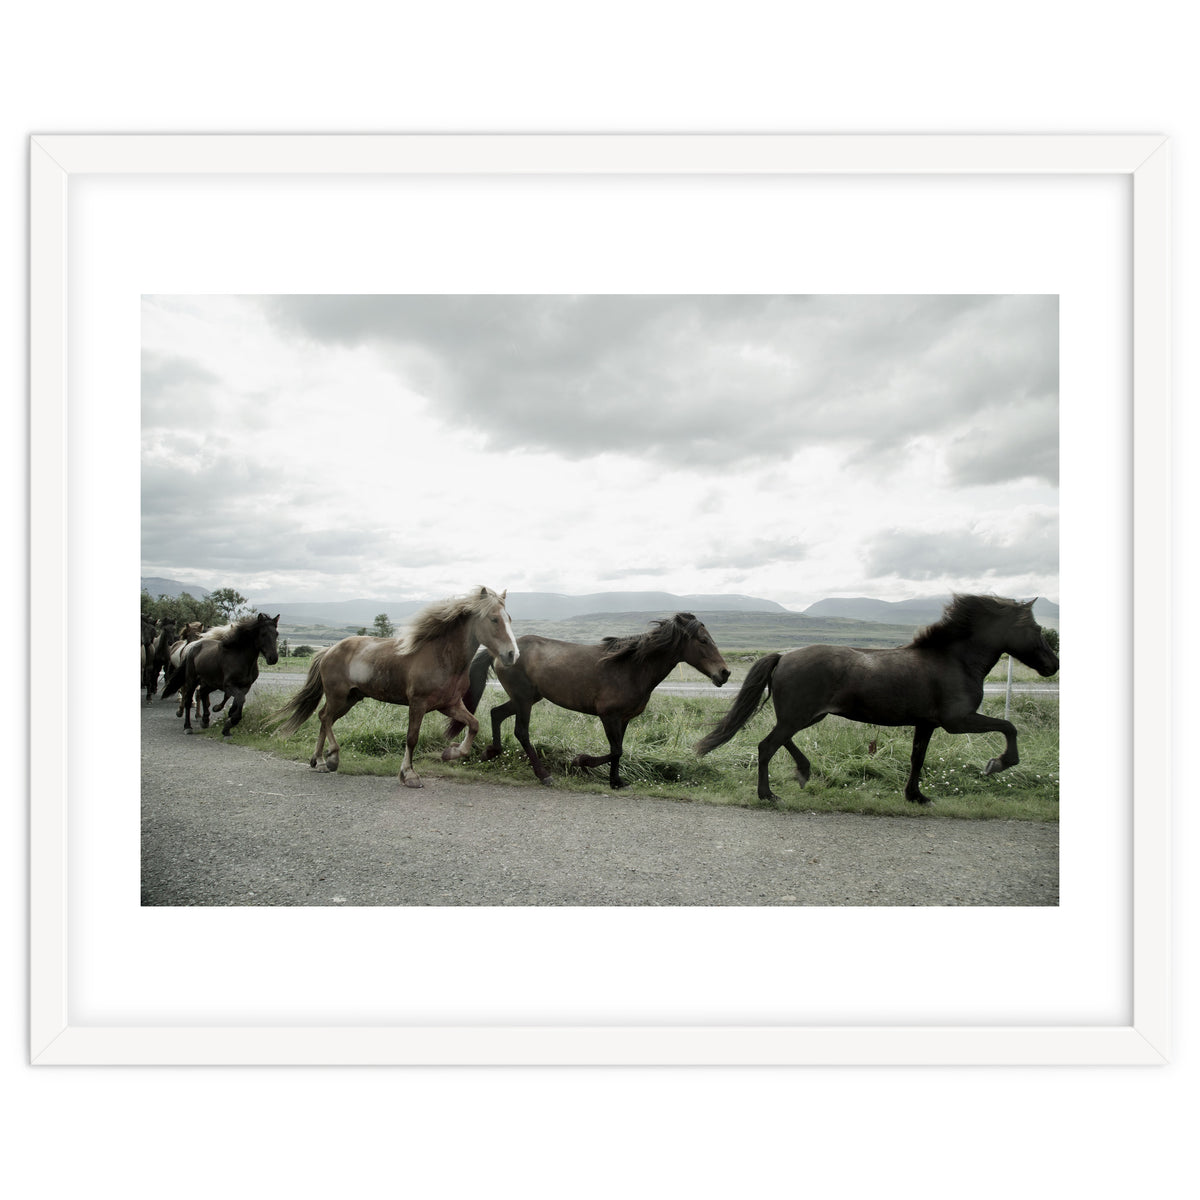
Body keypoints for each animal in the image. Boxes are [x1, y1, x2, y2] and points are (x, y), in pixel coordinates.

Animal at [267, 587, 518, 788]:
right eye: (494, 619)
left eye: (509, 618)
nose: (512, 655)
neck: (441, 657)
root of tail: (329, 650)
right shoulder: (417, 704)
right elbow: (412, 738)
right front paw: (409, 775)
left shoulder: (450, 705)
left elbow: (474, 725)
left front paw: (450, 753)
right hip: (338, 696)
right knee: (325, 718)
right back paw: (331, 758)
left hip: (349, 699)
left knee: (323, 718)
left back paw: (319, 760)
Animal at [458, 613, 731, 789]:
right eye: (703, 640)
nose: (724, 673)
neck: (631, 667)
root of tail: (502, 652)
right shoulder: (608, 716)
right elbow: (616, 750)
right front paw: (581, 761)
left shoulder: (624, 719)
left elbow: (618, 750)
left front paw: (616, 781)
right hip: (524, 700)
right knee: (521, 732)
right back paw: (543, 775)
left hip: (527, 698)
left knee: (496, 713)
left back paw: (491, 752)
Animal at [695, 594, 1059, 804]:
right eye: (1036, 628)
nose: (1053, 665)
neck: (953, 660)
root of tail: (784, 656)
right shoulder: (958, 721)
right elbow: (1009, 727)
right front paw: (997, 763)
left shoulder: (927, 724)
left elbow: (917, 759)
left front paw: (916, 796)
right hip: (798, 716)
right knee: (767, 746)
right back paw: (768, 794)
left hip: (807, 716)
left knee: (778, 742)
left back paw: (803, 772)